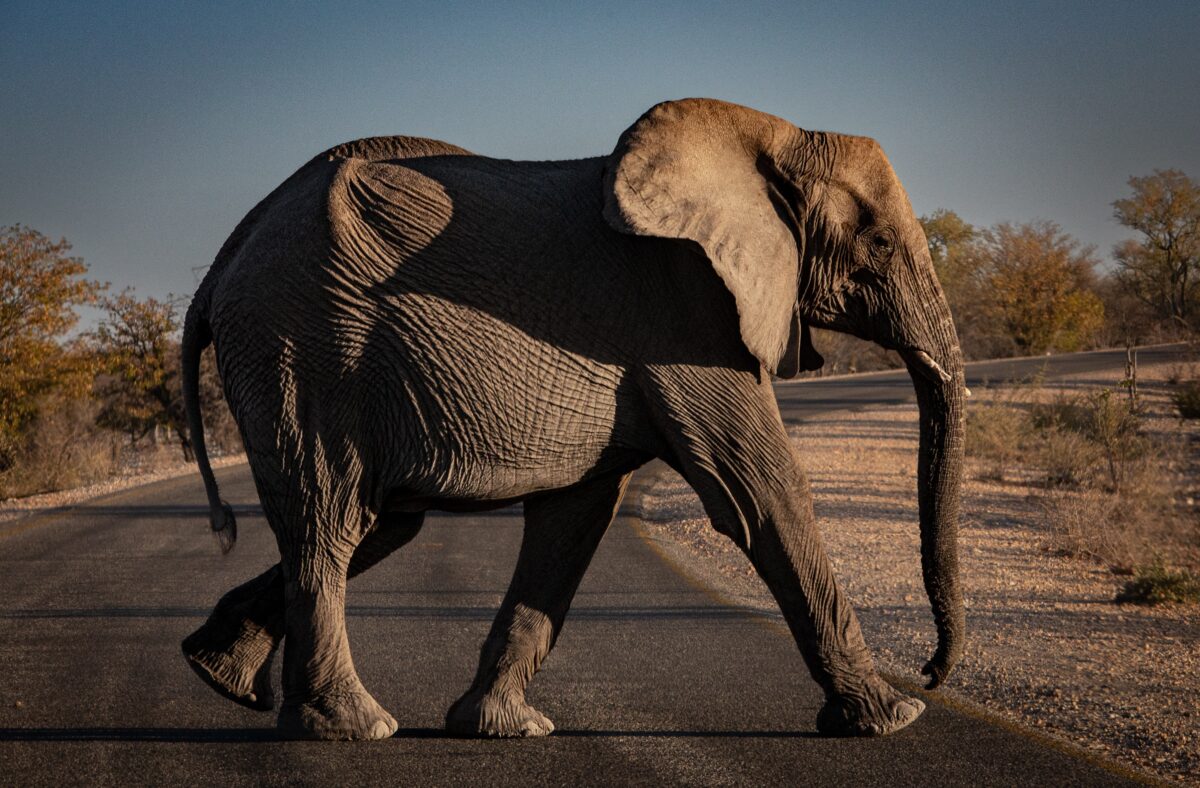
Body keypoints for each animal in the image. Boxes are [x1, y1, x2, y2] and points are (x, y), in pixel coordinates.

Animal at [179, 98, 965, 741]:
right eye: (879, 246)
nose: (933, 671)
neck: (772, 135)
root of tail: (221, 264)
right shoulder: (686, 310)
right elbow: (763, 493)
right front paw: (894, 718)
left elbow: (573, 521)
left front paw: (504, 729)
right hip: (302, 350)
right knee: (331, 522)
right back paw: (353, 727)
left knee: (375, 524)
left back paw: (219, 674)